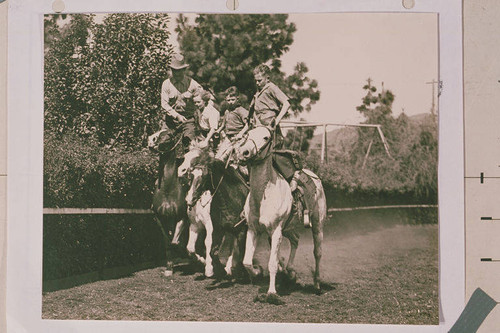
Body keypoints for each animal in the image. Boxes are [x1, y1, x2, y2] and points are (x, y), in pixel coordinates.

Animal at [149, 127, 190, 274]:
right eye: (156, 133)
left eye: (168, 136)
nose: (151, 142)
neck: (168, 190)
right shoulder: (160, 217)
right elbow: (168, 242)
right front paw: (169, 267)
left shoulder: (182, 216)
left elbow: (176, 242)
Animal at [235, 124, 328, 298]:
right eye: (248, 134)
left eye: (266, 137)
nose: (244, 152)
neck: (264, 196)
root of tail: (314, 176)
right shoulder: (253, 229)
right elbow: (247, 261)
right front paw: (257, 272)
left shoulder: (276, 230)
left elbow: (272, 262)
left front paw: (272, 292)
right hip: (288, 228)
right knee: (296, 240)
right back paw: (290, 272)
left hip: (317, 224)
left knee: (318, 252)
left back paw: (317, 284)